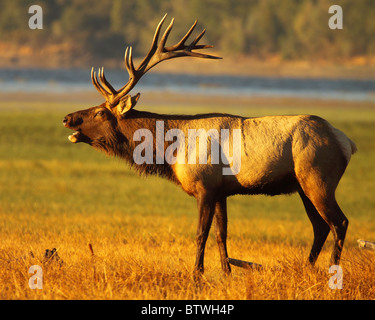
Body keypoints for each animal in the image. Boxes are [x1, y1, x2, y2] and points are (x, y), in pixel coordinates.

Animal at [63, 15, 356, 274]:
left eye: (100, 113)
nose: (67, 118)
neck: (171, 151)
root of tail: (346, 142)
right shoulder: (220, 190)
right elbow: (221, 234)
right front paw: (226, 273)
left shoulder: (204, 186)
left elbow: (200, 234)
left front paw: (197, 274)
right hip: (302, 186)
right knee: (320, 227)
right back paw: (306, 268)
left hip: (318, 178)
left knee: (339, 222)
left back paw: (332, 271)